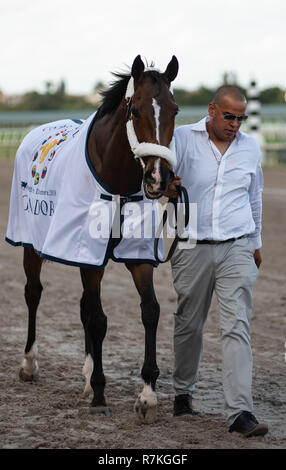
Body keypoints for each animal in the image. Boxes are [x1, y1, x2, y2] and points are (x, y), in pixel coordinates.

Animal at [6, 54, 179, 422]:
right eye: (135, 110)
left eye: (175, 109)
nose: (159, 178)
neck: (116, 184)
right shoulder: (89, 257)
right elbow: (99, 320)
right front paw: (100, 394)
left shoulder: (137, 257)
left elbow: (150, 311)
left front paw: (147, 395)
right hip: (32, 246)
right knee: (33, 293)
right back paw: (29, 364)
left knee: (83, 305)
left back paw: (85, 377)